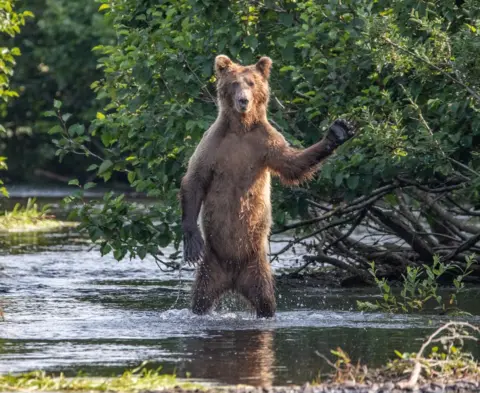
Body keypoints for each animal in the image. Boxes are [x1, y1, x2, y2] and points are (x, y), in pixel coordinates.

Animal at [182, 53, 354, 316]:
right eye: (234, 83)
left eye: (252, 83)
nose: (243, 100)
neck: (241, 128)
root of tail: (232, 278)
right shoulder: (213, 144)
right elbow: (195, 179)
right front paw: (192, 242)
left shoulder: (265, 142)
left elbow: (291, 164)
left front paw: (338, 131)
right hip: (212, 265)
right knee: (201, 299)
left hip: (257, 267)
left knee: (265, 300)